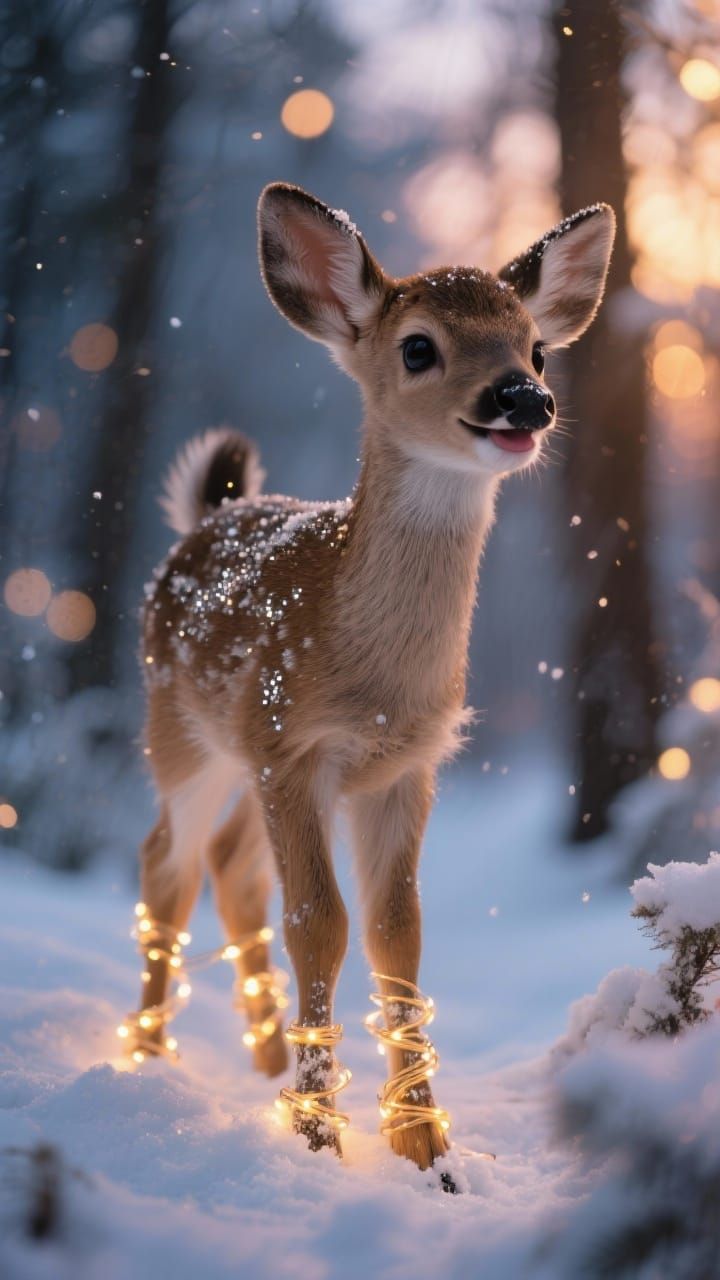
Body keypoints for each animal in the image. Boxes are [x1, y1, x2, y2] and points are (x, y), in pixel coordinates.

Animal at [120, 181, 615, 1190]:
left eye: (537, 347)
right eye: (418, 347)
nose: (525, 398)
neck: (377, 683)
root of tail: (208, 516)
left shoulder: (404, 767)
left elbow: (396, 927)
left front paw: (425, 1146)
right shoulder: (294, 745)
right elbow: (321, 921)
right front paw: (318, 1138)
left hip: (241, 764)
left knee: (228, 868)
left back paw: (264, 1056)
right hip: (185, 737)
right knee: (167, 862)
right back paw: (149, 1056)